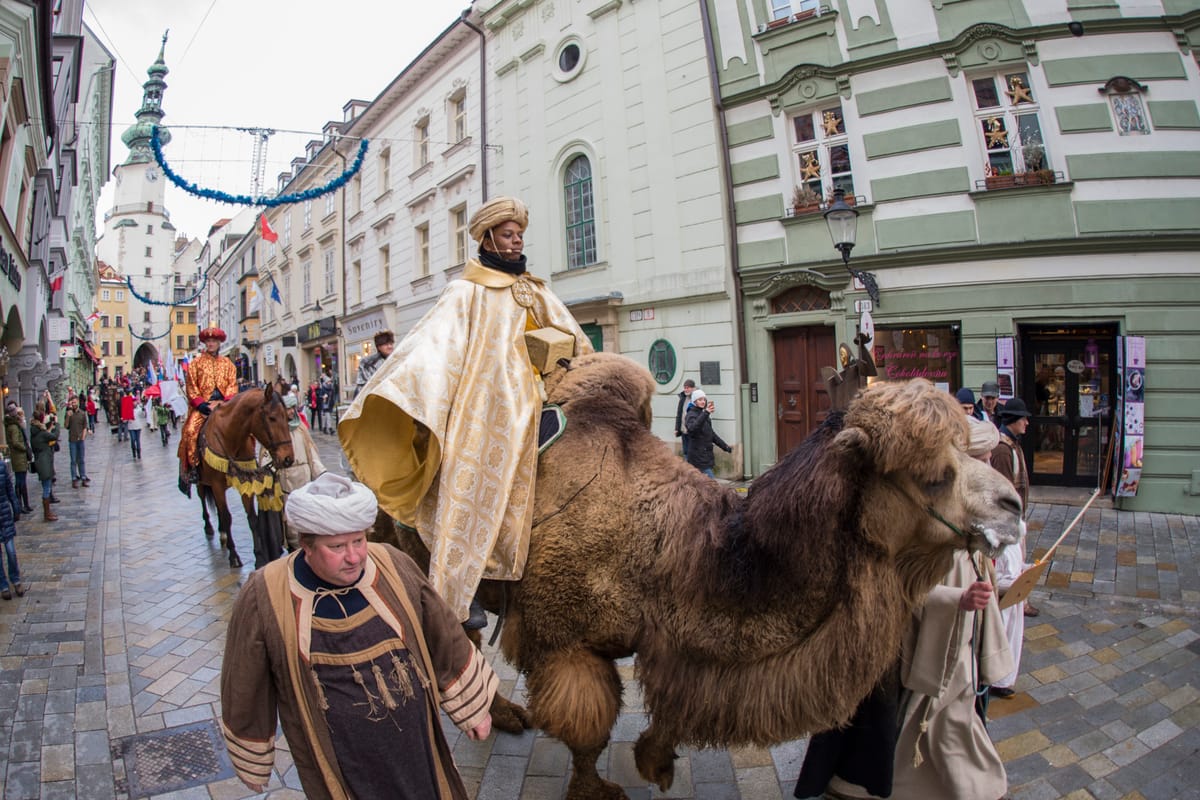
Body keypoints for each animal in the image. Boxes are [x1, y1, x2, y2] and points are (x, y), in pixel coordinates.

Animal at [195, 381, 294, 568]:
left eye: (287, 417)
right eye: (271, 418)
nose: (288, 459)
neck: (229, 437)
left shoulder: (245, 482)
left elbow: (252, 519)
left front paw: (260, 557)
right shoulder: (216, 485)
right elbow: (227, 517)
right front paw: (234, 556)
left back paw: (221, 533)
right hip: (201, 482)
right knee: (203, 498)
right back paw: (209, 527)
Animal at [374, 352, 1022, 796]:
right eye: (930, 474)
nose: (1014, 505)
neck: (663, 550)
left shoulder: (671, 646)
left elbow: (673, 714)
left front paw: (655, 763)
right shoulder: (566, 642)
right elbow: (587, 727)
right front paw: (596, 789)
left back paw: (506, 715)